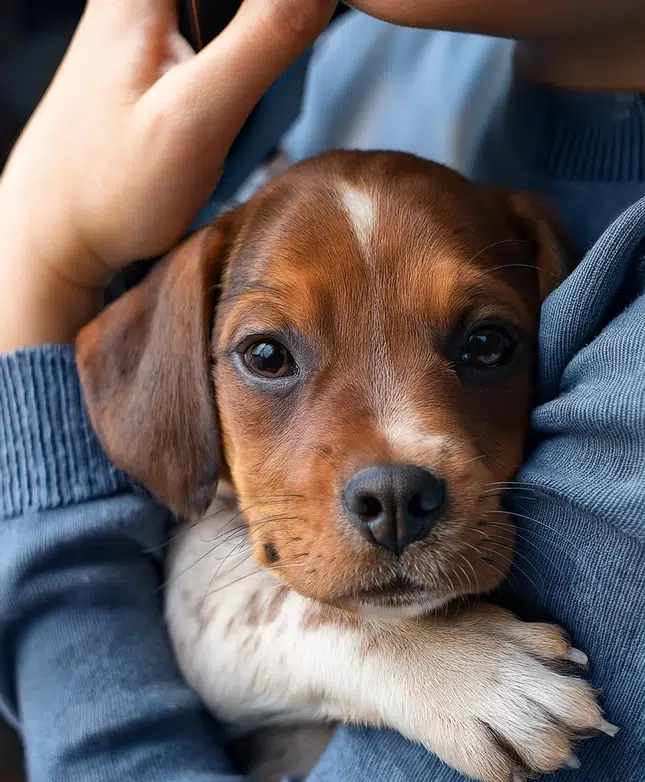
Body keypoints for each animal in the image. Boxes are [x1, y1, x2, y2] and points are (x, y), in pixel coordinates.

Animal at [76, 152, 612, 782]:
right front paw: (476, 671)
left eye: (487, 343)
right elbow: (302, 609)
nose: (398, 499)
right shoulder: (198, 593)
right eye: (266, 355)